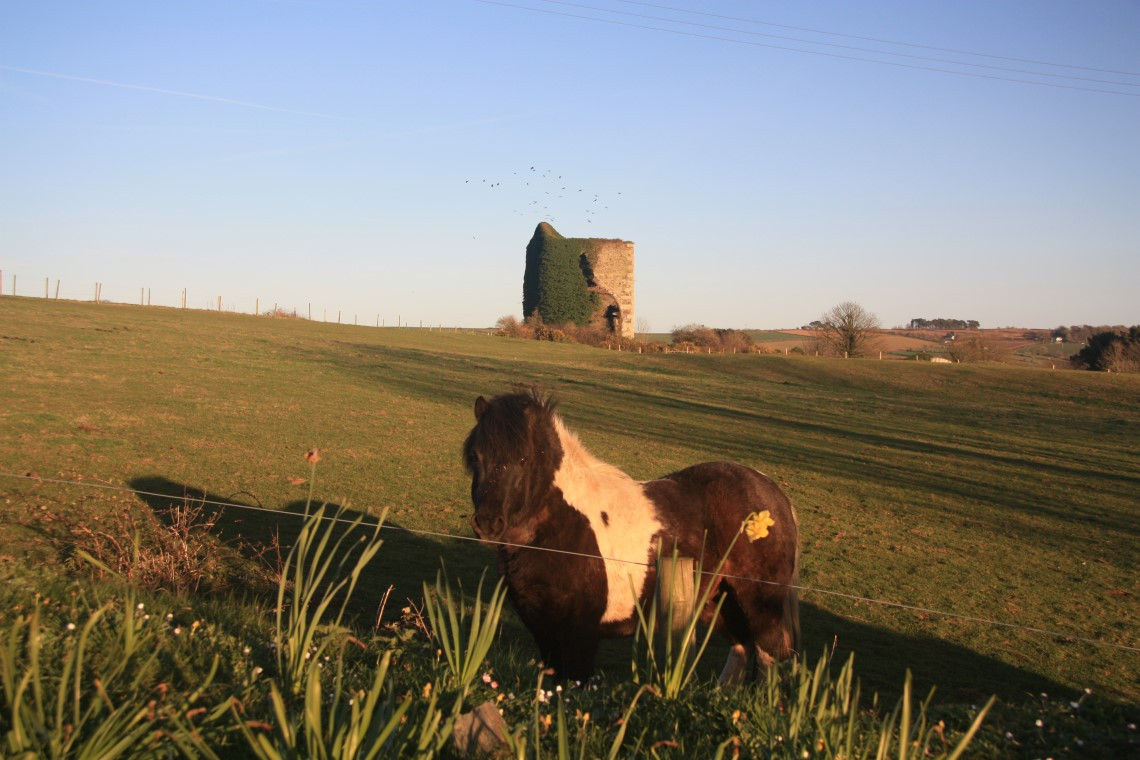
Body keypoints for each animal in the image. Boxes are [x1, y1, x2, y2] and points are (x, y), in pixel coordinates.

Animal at [462, 391, 802, 683]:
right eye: (476, 457)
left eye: (523, 459)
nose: (488, 523)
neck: (564, 524)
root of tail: (775, 493)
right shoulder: (543, 629)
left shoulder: (580, 634)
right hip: (721, 601)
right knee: (742, 649)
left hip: (759, 603)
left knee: (768, 654)